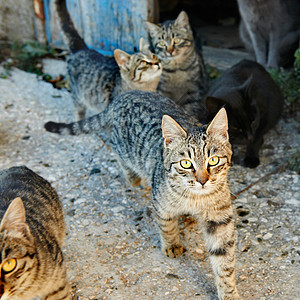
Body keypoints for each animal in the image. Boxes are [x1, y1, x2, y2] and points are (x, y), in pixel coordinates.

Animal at [44, 90, 239, 298]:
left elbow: (224, 260)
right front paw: (171, 244)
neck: (195, 198)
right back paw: (134, 177)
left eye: (213, 160)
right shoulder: (161, 203)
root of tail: (124, 95)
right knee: (116, 150)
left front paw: (228, 291)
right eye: (186, 163)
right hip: (124, 148)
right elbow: (167, 225)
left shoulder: (219, 220)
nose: (202, 181)